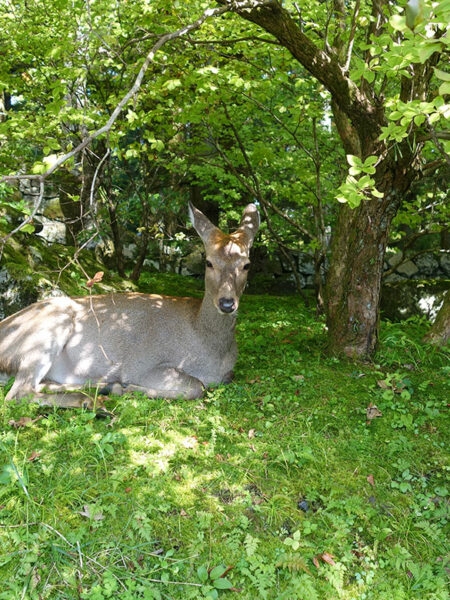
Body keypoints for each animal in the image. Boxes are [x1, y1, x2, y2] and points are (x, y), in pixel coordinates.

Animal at [0, 202, 260, 408]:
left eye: (246, 264)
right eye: (208, 262)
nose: (227, 303)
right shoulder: (143, 365)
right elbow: (197, 387)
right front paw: (126, 388)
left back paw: (99, 388)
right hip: (45, 333)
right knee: (18, 393)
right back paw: (94, 400)